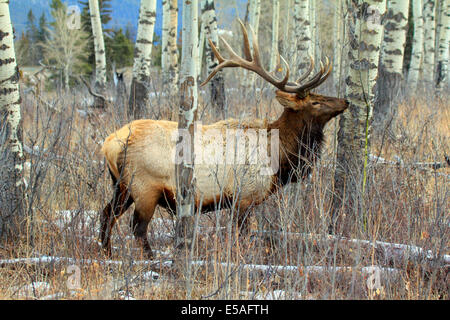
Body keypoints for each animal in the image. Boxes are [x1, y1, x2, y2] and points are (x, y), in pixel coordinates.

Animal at [100, 20, 350, 258]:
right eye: (315, 102)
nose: (345, 101)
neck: (279, 157)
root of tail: (109, 144)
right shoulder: (244, 196)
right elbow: (243, 234)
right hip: (144, 187)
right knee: (138, 227)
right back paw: (151, 260)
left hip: (121, 186)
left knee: (106, 215)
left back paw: (107, 252)